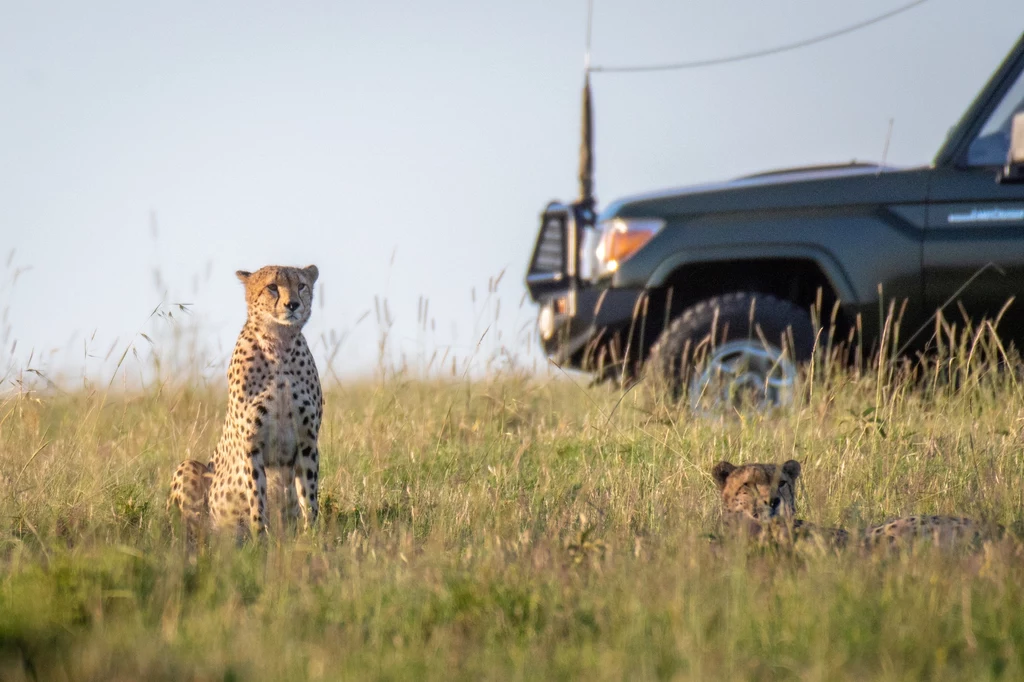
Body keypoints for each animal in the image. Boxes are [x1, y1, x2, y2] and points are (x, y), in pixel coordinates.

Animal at [166, 264, 323, 536]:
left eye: (301, 285)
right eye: (272, 287)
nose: (293, 304)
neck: (279, 345)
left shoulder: (307, 441)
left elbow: (309, 495)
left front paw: (312, 536)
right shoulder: (252, 443)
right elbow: (257, 496)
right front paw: (261, 537)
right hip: (190, 470)